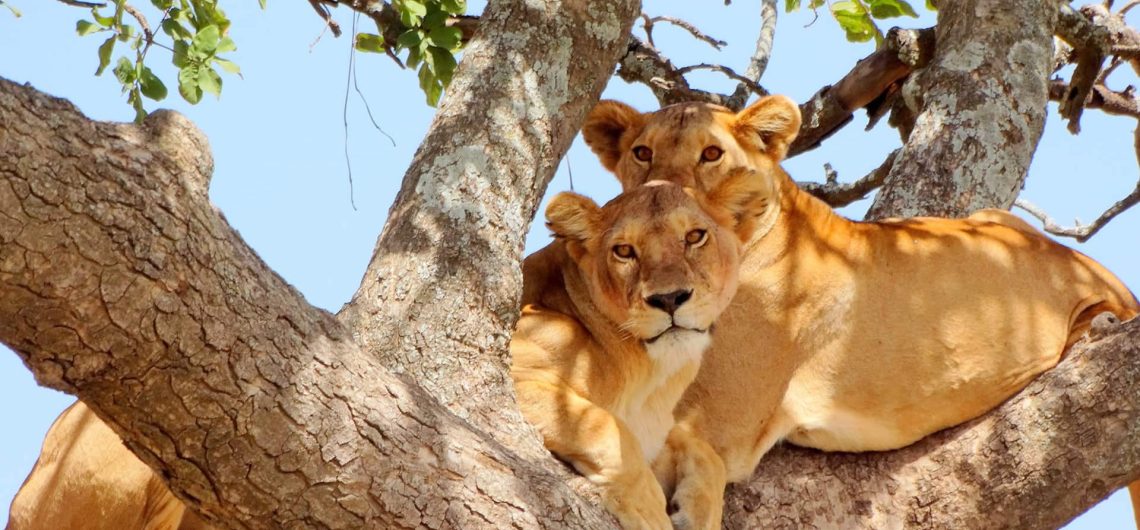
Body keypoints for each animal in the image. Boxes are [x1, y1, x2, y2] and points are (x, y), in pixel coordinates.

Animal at [510, 173, 771, 529]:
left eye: (694, 236)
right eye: (624, 250)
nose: (669, 298)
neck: (650, 377)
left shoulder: (657, 427)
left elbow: (703, 451)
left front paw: (699, 514)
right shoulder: (516, 369)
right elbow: (605, 426)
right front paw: (648, 509)